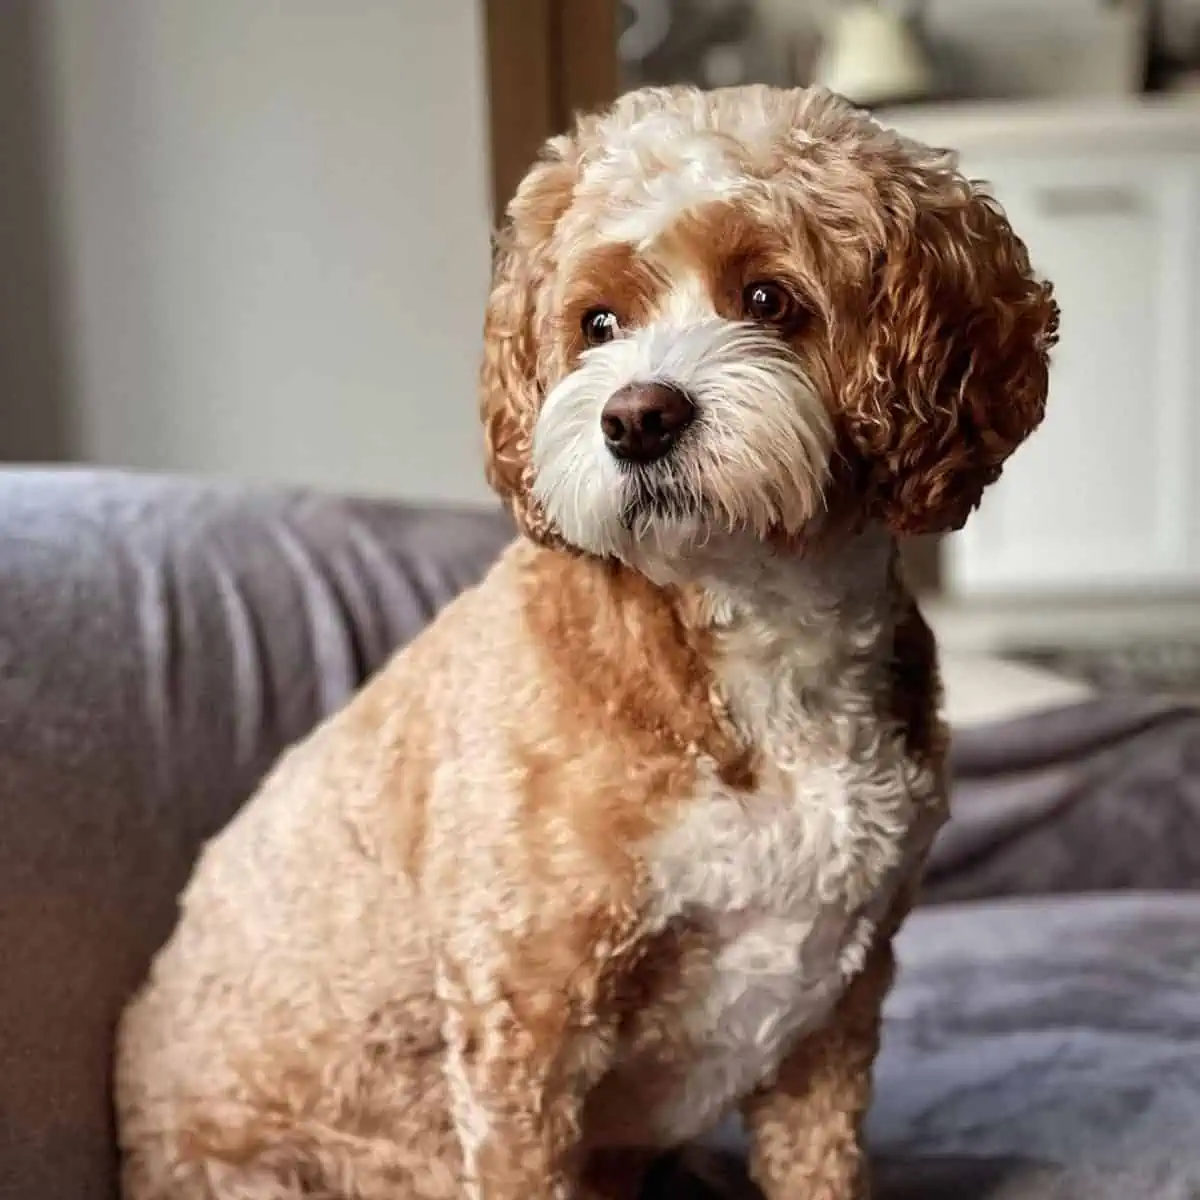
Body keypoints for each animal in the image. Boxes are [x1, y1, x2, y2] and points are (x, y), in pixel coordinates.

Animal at [117, 87, 1056, 1200]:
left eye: (769, 297)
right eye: (596, 322)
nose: (637, 417)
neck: (753, 633)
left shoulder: (836, 1006)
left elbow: (819, 1163)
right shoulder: (524, 1019)